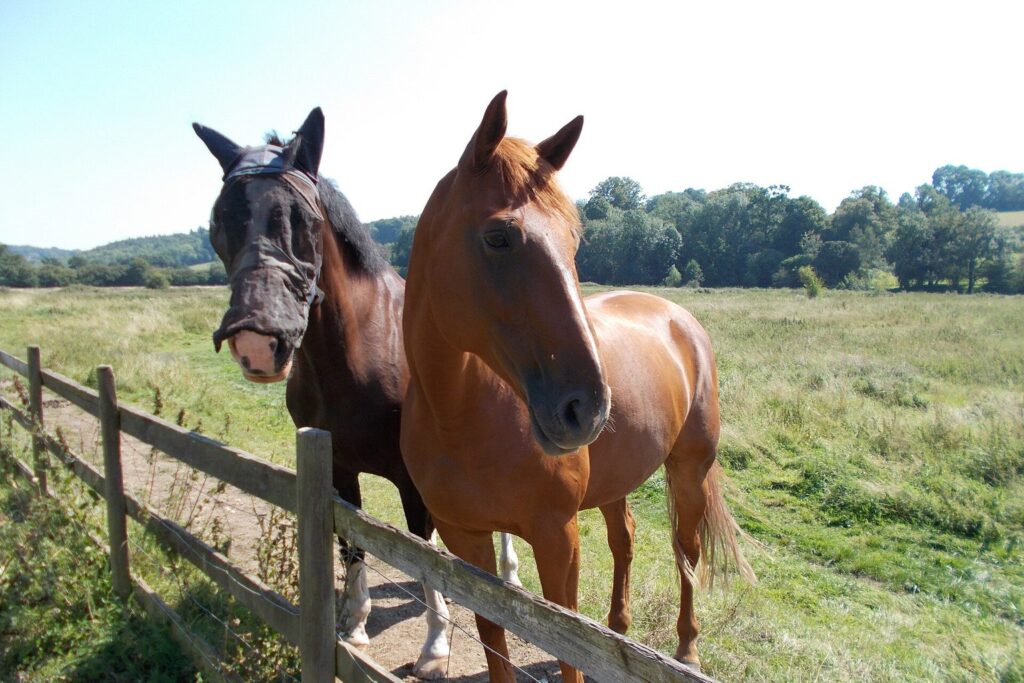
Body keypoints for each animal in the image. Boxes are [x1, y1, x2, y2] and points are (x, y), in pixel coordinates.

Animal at [193, 108, 520, 679]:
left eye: (304, 218)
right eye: (218, 221)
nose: (256, 342)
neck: (359, 350)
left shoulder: (412, 480)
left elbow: (421, 552)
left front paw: (434, 648)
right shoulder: (338, 469)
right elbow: (352, 546)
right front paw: (354, 623)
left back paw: (508, 573)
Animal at [401, 91, 755, 682]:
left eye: (573, 240)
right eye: (499, 236)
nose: (585, 408)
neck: (460, 415)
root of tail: (680, 318)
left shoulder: (556, 537)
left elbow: (568, 646)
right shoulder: (464, 537)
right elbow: (494, 638)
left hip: (688, 469)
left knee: (686, 551)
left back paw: (686, 648)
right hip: (617, 480)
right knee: (625, 538)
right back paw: (619, 630)